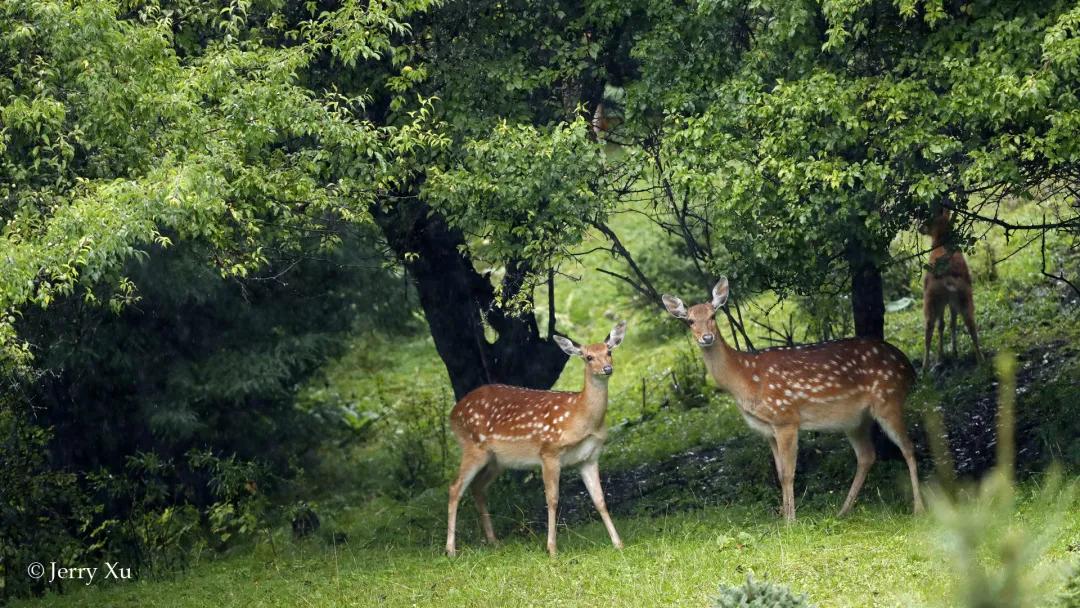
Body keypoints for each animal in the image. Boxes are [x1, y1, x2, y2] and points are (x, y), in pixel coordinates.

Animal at [444, 321, 630, 557]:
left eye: (609, 352)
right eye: (588, 357)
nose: (607, 369)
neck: (581, 417)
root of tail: (453, 413)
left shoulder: (588, 458)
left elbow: (600, 499)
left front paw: (618, 543)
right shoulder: (549, 451)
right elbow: (552, 499)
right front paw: (552, 549)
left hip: (497, 460)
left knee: (477, 487)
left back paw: (493, 541)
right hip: (473, 446)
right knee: (455, 488)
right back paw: (451, 549)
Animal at [660, 278, 924, 520]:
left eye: (713, 315)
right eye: (690, 320)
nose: (706, 337)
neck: (745, 380)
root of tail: (908, 367)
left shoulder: (786, 418)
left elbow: (789, 474)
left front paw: (791, 521)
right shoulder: (767, 429)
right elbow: (779, 474)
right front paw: (783, 519)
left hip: (888, 399)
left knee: (908, 447)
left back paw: (918, 509)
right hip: (855, 419)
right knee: (867, 455)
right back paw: (842, 511)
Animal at [915, 207, 984, 369]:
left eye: (928, 218)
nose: (919, 228)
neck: (941, 242)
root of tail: (947, 278)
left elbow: (942, 325)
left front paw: (942, 356)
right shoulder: (951, 302)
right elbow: (952, 323)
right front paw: (954, 352)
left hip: (931, 300)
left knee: (929, 329)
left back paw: (925, 367)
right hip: (964, 297)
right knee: (971, 325)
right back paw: (981, 360)